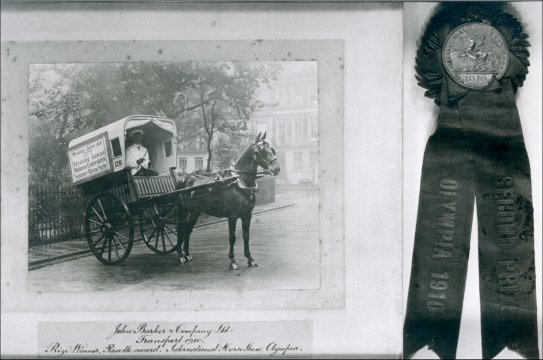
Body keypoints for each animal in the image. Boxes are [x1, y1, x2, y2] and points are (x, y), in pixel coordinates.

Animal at [177, 132, 280, 270]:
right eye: (261, 151)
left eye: (271, 149)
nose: (277, 169)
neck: (239, 182)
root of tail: (188, 177)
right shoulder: (232, 216)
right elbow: (232, 237)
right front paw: (233, 261)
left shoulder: (247, 215)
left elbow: (246, 236)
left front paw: (250, 259)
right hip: (184, 210)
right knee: (180, 228)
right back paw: (180, 256)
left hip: (195, 211)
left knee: (188, 229)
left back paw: (187, 254)